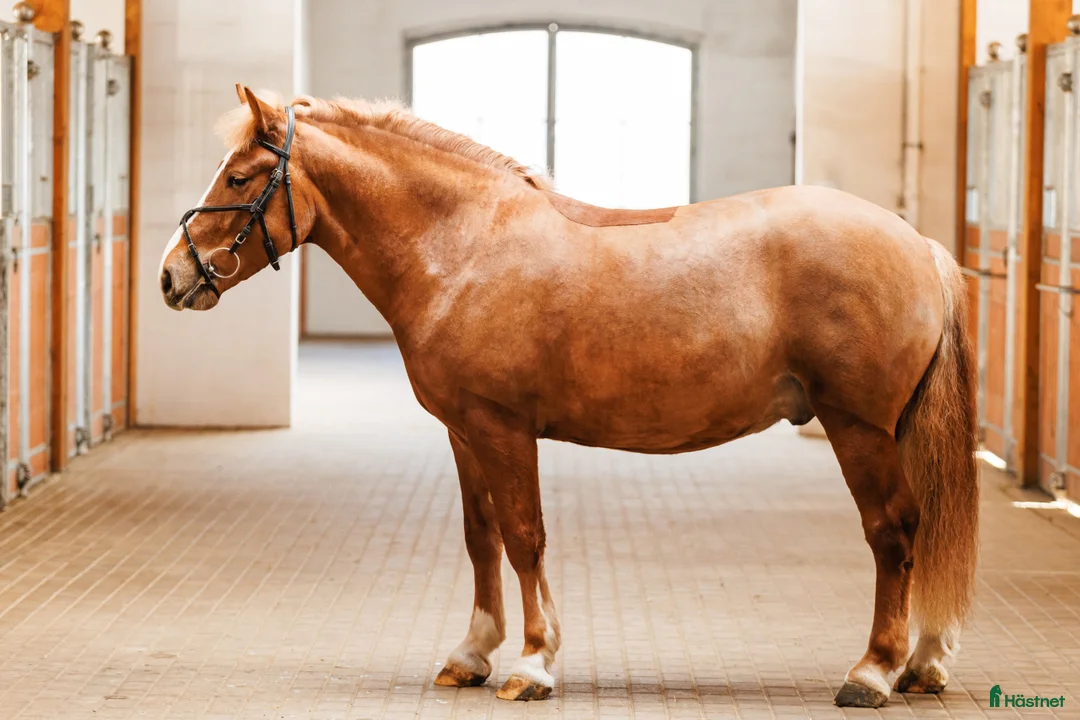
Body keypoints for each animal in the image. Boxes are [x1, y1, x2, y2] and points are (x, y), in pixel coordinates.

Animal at [158, 85, 979, 708]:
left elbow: (526, 537)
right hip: (894, 429)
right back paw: (925, 663)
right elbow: (482, 536)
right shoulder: (464, 431)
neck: (463, 247)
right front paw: (472, 653)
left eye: (238, 179)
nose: (172, 276)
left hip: (859, 428)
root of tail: (918, 246)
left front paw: (531, 663)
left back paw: (873, 672)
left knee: (894, 531)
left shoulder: (503, 428)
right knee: (928, 522)